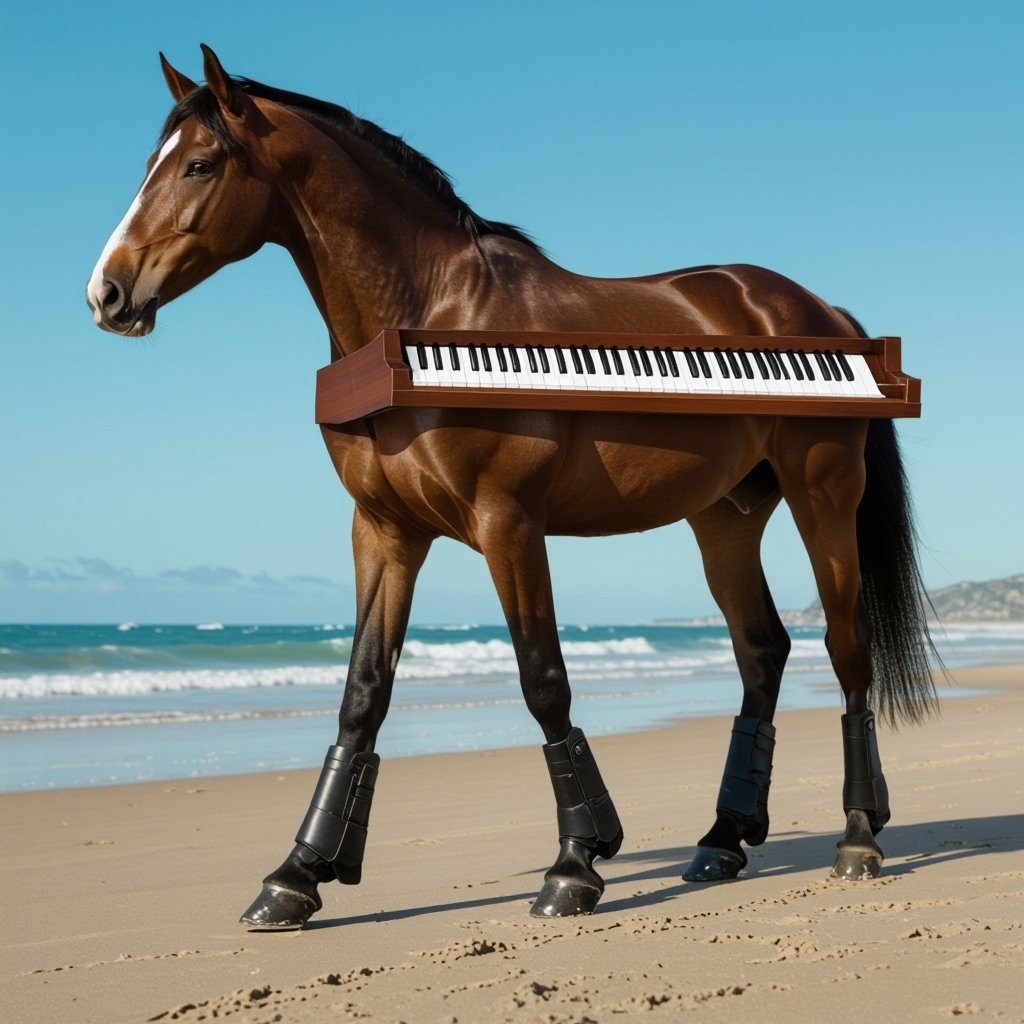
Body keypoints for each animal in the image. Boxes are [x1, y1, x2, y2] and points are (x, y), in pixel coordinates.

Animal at [86, 45, 939, 931]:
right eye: (150, 163)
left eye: (198, 164)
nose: (106, 292)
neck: (427, 319)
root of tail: (825, 316)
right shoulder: (384, 532)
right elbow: (363, 693)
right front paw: (297, 876)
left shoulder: (508, 523)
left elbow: (543, 680)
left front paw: (577, 864)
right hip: (724, 519)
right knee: (762, 650)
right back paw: (722, 840)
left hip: (822, 498)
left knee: (846, 650)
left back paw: (858, 839)